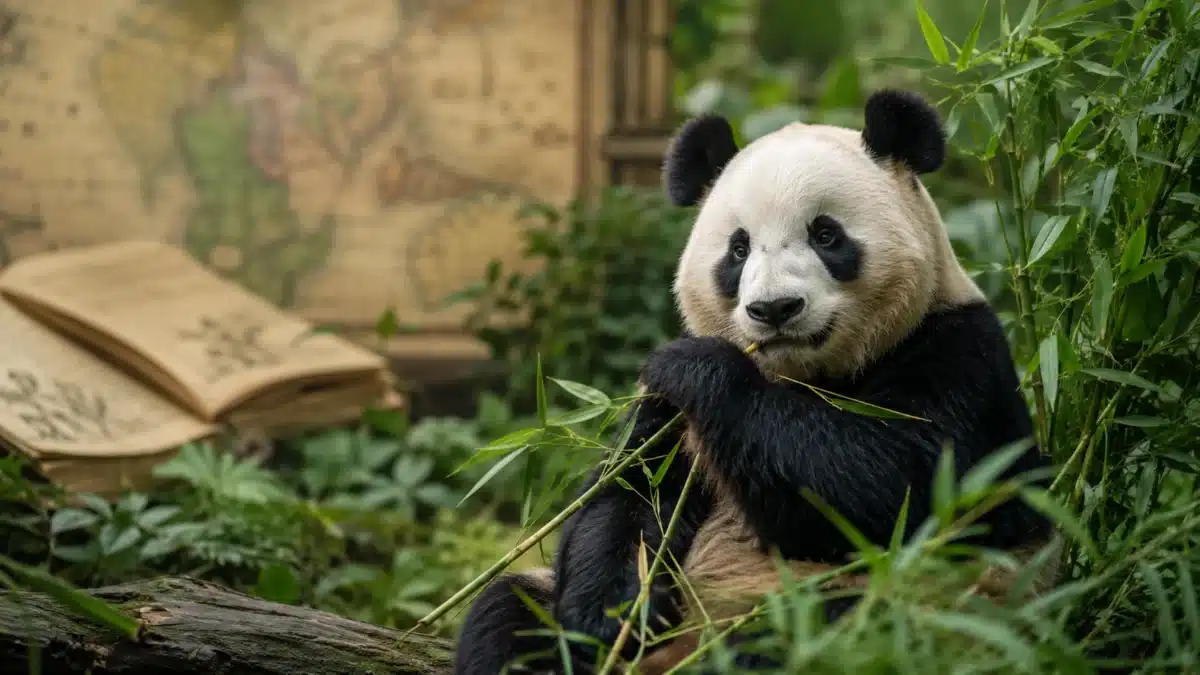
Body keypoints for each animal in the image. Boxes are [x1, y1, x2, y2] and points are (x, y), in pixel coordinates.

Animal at [452, 89, 1060, 675]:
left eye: (826, 235)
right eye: (738, 248)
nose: (774, 309)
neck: (806, 378)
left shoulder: (958, 356)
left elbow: (889, 485)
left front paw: (701, 366)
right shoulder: (666, 416)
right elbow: (627, 495)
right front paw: (611, 615)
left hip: (895, 609)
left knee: (821, 634)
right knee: (507, 609)